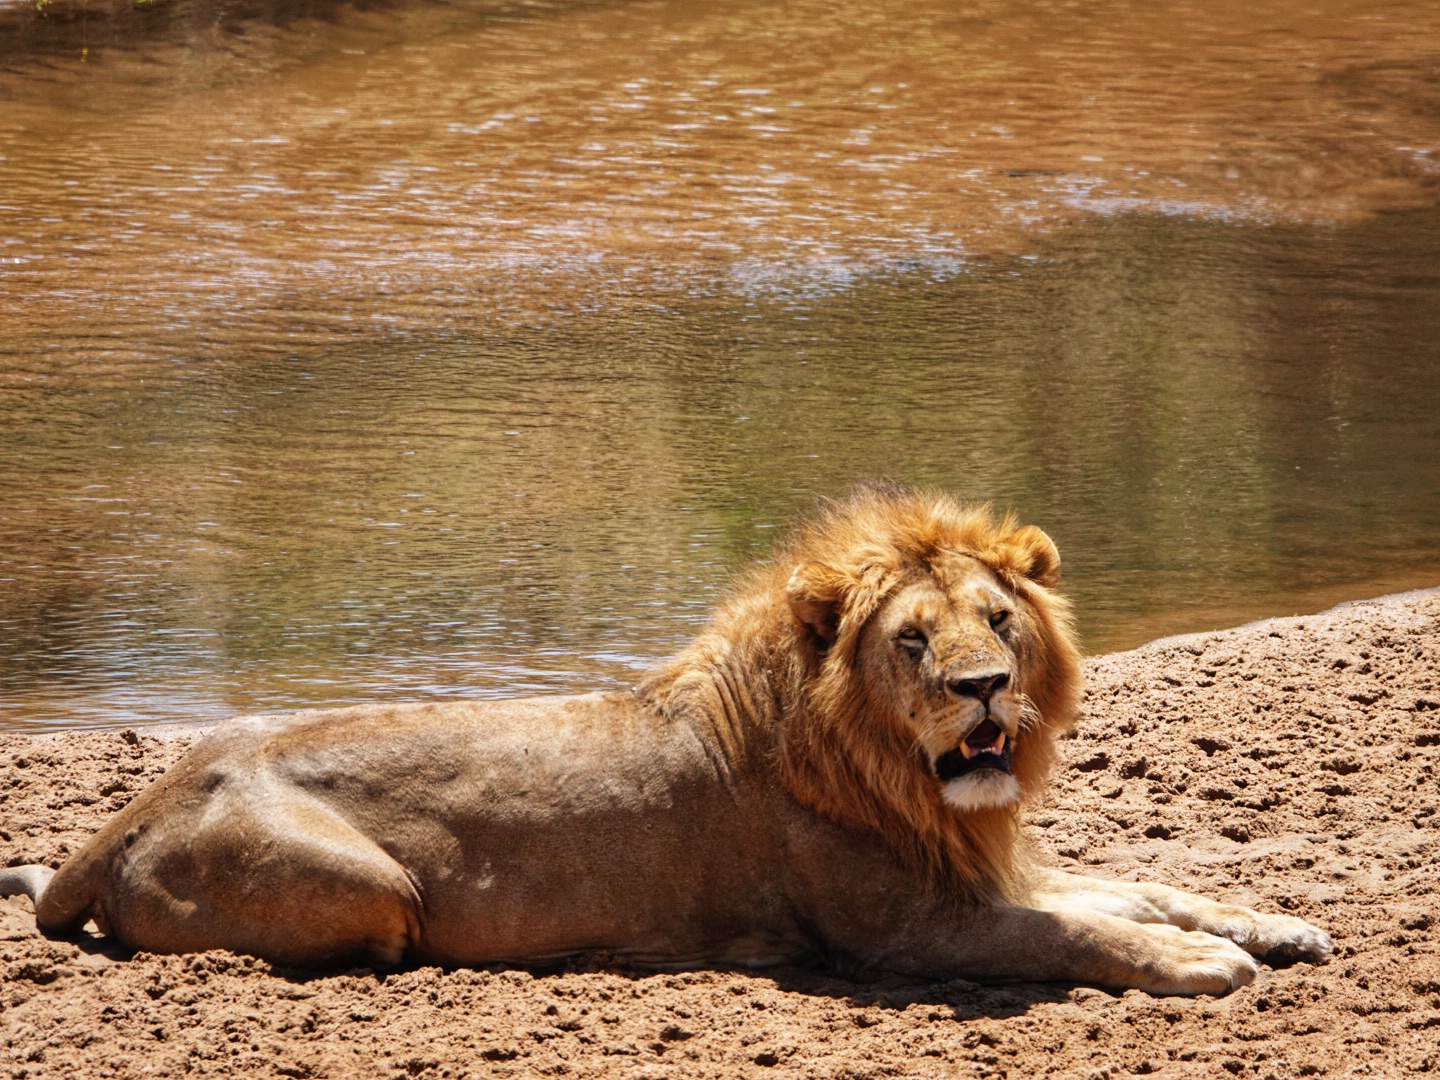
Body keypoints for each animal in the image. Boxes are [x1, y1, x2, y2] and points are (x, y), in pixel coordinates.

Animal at [0, 486, 1324, 996]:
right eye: (912, 641)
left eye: (998, 622)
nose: (986, 689)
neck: (887, 773)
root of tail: (134, 808)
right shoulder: (910, 930)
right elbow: (1082, 931)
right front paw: (1206, 966)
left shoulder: (981, 866)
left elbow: (1141, 887)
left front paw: (1270, 924)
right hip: (378, 893)